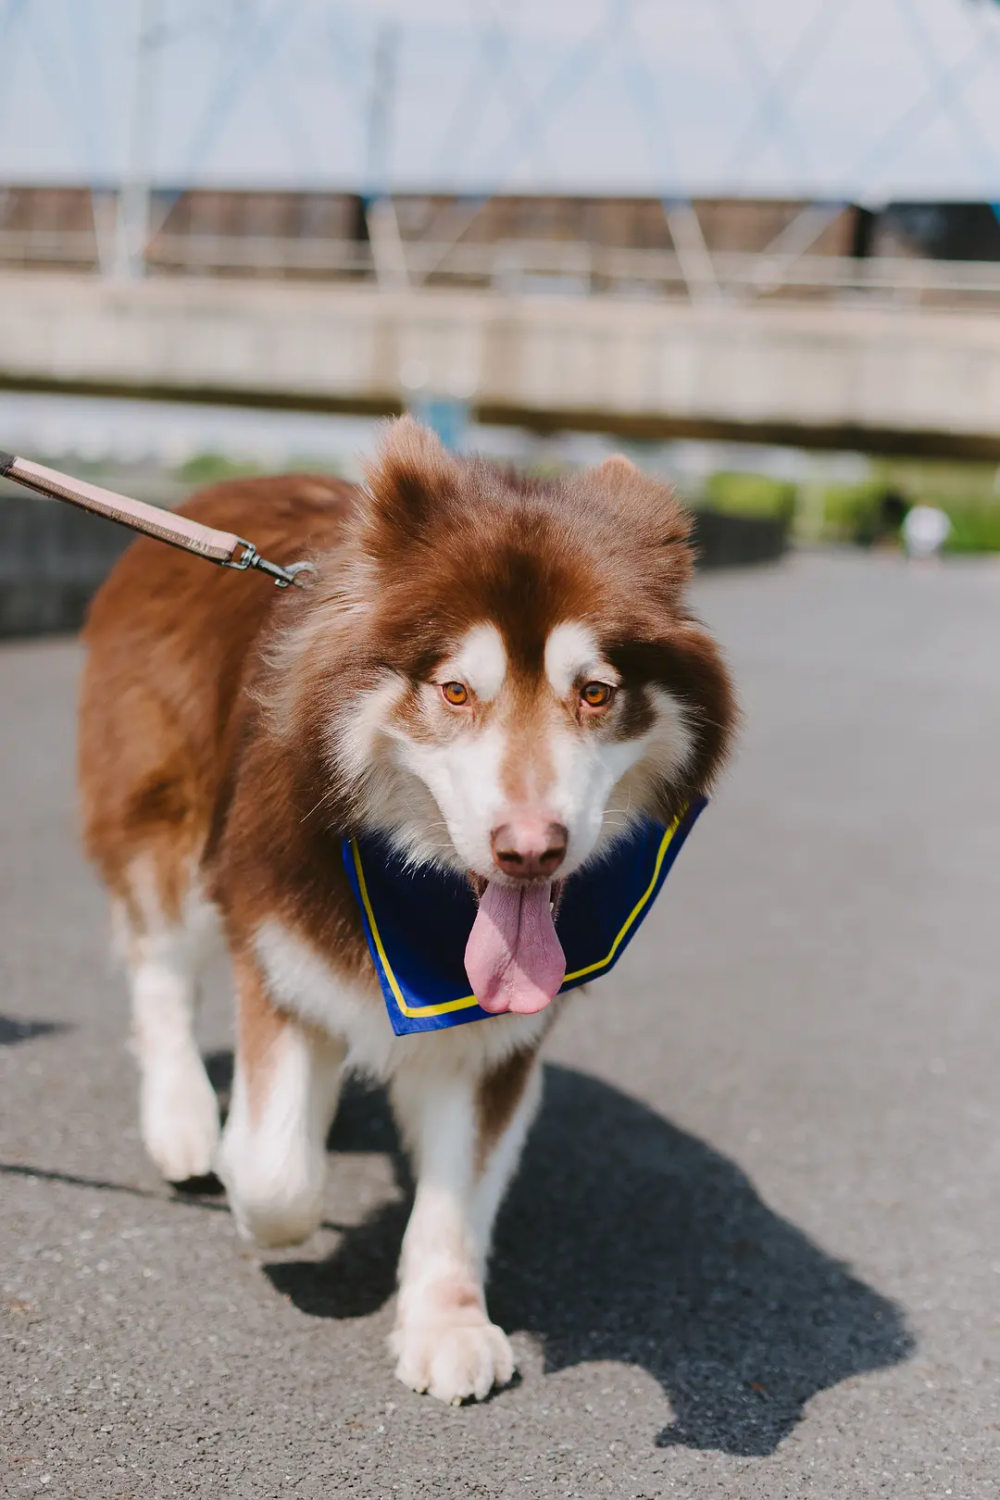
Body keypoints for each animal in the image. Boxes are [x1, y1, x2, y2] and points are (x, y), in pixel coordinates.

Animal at [78, 420, 734, 1404]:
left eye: (595, 693)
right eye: (455, 691)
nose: (531, 849)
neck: (422, 901)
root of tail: (221, 492)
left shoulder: (497, 1033)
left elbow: (457, 1190)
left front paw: (445, 1322)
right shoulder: (282, 944)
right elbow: (275, 1173)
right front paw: (248, 1171)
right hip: (170, 814)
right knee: (159, 971)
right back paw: (186, 1121)